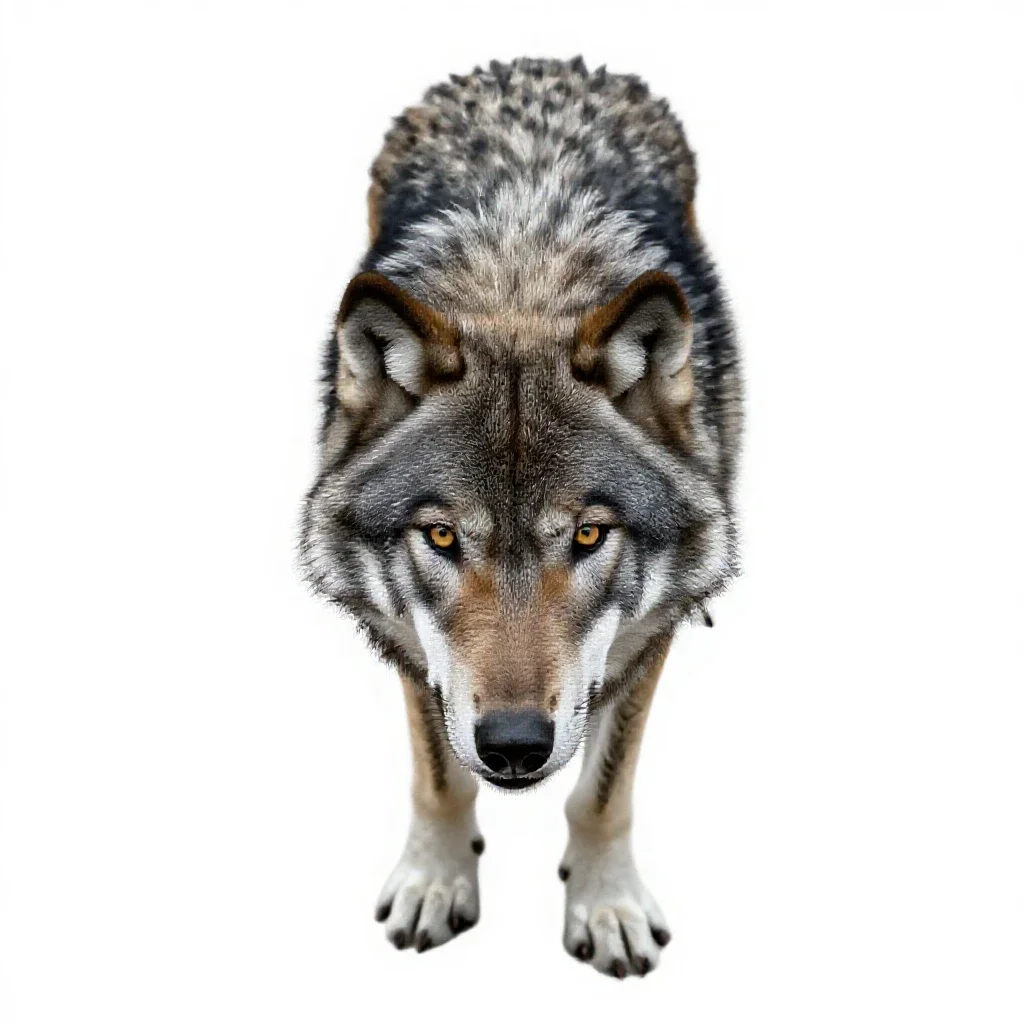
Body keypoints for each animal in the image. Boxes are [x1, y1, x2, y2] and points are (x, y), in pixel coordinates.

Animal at [301, 56, 742, 978]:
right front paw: (436, 882)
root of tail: (542, 63)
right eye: (440, 537)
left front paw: (607, 905)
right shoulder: (407, 640)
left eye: (587, 535)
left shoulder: (641, 643)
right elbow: (438, 776)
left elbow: (603, 793)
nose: (512, 743)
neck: (521, 278)